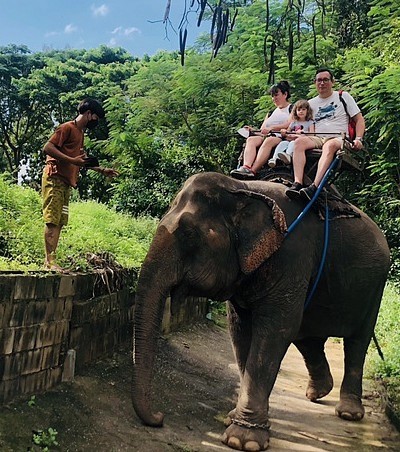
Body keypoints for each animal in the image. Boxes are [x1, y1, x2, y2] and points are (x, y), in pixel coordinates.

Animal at [132, 171, 390, 450]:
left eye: (189, 234)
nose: (159, 417)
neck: (244, 191)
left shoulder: (292, 256)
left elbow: (275, 330)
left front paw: (242, 440)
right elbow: (241, 330)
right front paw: (233, 419)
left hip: (375, 287)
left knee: (356, 342)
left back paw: (349, 413)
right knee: (306, 337)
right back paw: (318, 392)